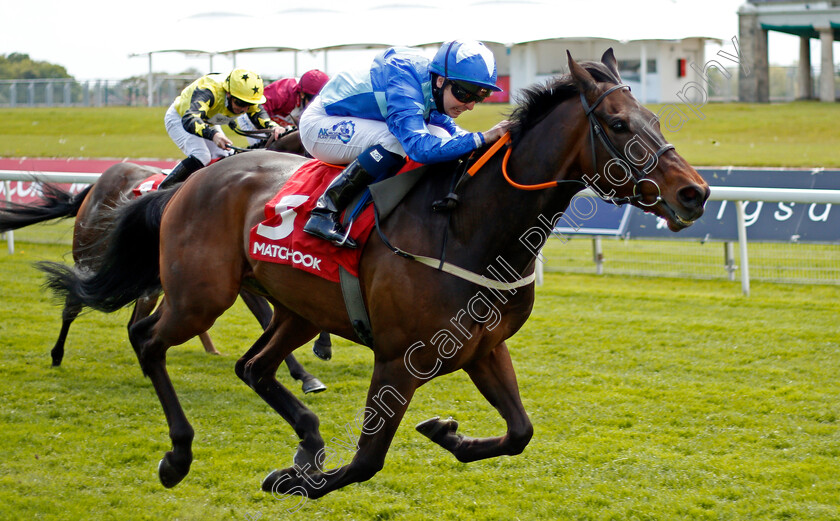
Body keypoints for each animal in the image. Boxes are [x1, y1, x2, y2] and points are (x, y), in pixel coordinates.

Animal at [0, 132, 326, 392]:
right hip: (90, 257)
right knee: (72, 302)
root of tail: (97, 184)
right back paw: (57, 354)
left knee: (133, 321)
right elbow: (267, 316)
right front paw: (303, 372)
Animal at [37, 50, 708, 498]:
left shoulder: (484, 348)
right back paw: (179, 455)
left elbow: (520, 431)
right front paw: (296, 480)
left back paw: (307, 438)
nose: (695, 193)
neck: (468, 225)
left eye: (655, 120)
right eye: (618, 126)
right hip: (201, 293)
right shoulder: (397, 359)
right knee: (149, 340)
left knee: (253, 366)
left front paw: (446, 432)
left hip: (297, 308)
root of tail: (191, 180)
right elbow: (366, 462)